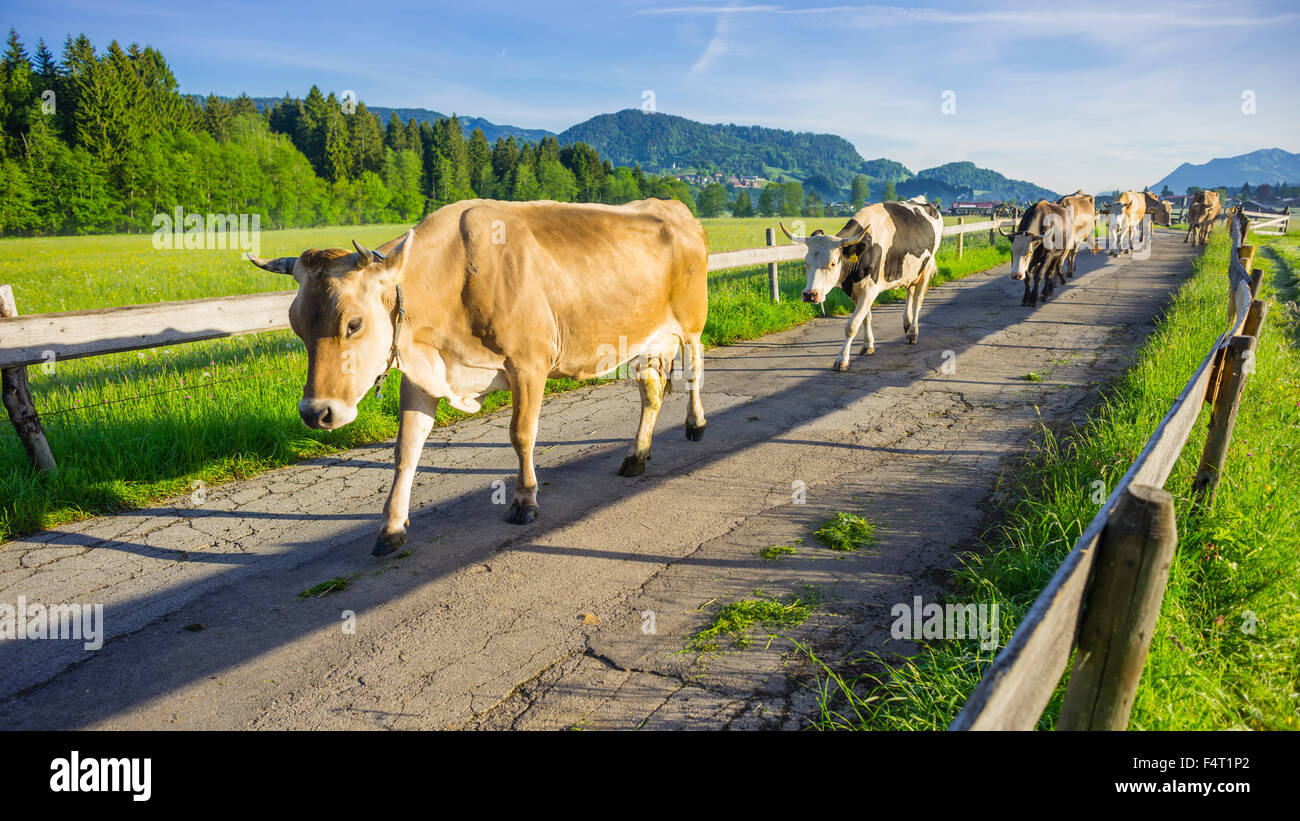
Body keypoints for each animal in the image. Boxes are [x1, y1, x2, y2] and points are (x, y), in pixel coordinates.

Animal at [244, 200, 712, 558]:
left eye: (354, 324)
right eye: (295, 324)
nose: (316, 412)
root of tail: (671, 206)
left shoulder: (529, 364)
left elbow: (522, 434)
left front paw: (524, 500)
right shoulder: (421, 377)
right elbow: (406, 450)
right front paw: (391, 527)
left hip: (691, 322)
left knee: (695, 371)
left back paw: (696, 423)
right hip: (647, 339)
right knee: (651, 393)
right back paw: (637, 455)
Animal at [774, 196, 941, 368]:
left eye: (832, 263)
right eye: (805, 263)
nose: (809, 295)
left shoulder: (870, 289)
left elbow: (852, 325)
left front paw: (842, 359)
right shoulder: (854, 290)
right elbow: (866, 318)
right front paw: (868, 345)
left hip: (926, 268)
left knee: (918, 301)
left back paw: (912, 333)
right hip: (911, 271)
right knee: (910, 292)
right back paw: (907, 324)